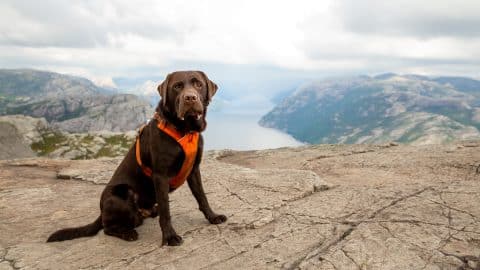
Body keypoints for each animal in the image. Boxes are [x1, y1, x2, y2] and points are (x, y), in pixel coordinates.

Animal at [47, 70, 228, 246]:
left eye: (198, 84)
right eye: (177, 86)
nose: (190, 97)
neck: (185, 130)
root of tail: (101, 211)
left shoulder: (194, 170)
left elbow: (202, 197)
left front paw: (213, 217)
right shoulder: (160, 176)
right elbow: (166, 211)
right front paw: (169, 236)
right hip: (122, 193)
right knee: (108, 228)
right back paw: (128, 233)